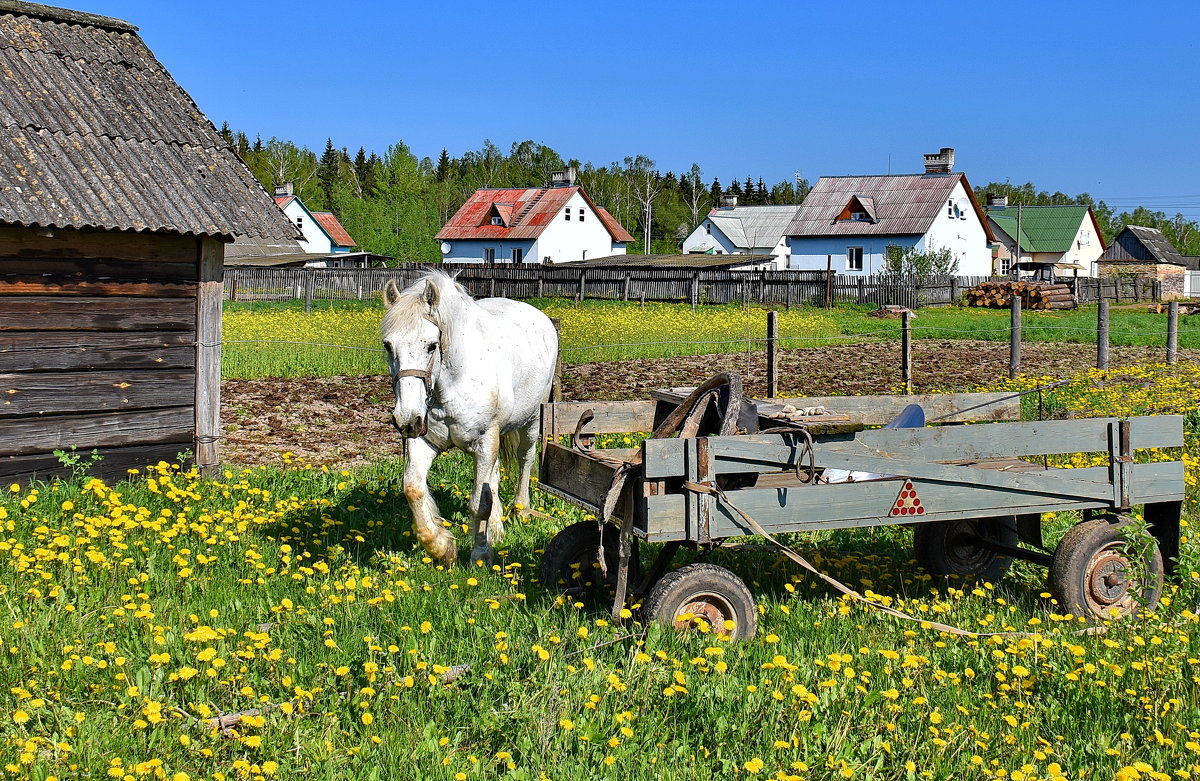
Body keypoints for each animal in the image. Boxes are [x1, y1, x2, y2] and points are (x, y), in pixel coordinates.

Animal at [379, 273, 556, 568]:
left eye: (432, 345)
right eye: (388, 345)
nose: (406, 419)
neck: (451, 384)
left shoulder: (485, 442)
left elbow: (479, 504)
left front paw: (480, 556)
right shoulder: (424, 440)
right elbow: (413, 488)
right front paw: (441, 547)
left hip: (531, 421)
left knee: (525, 459)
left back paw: (521, 510)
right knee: (494, 477)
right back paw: (496, 528)